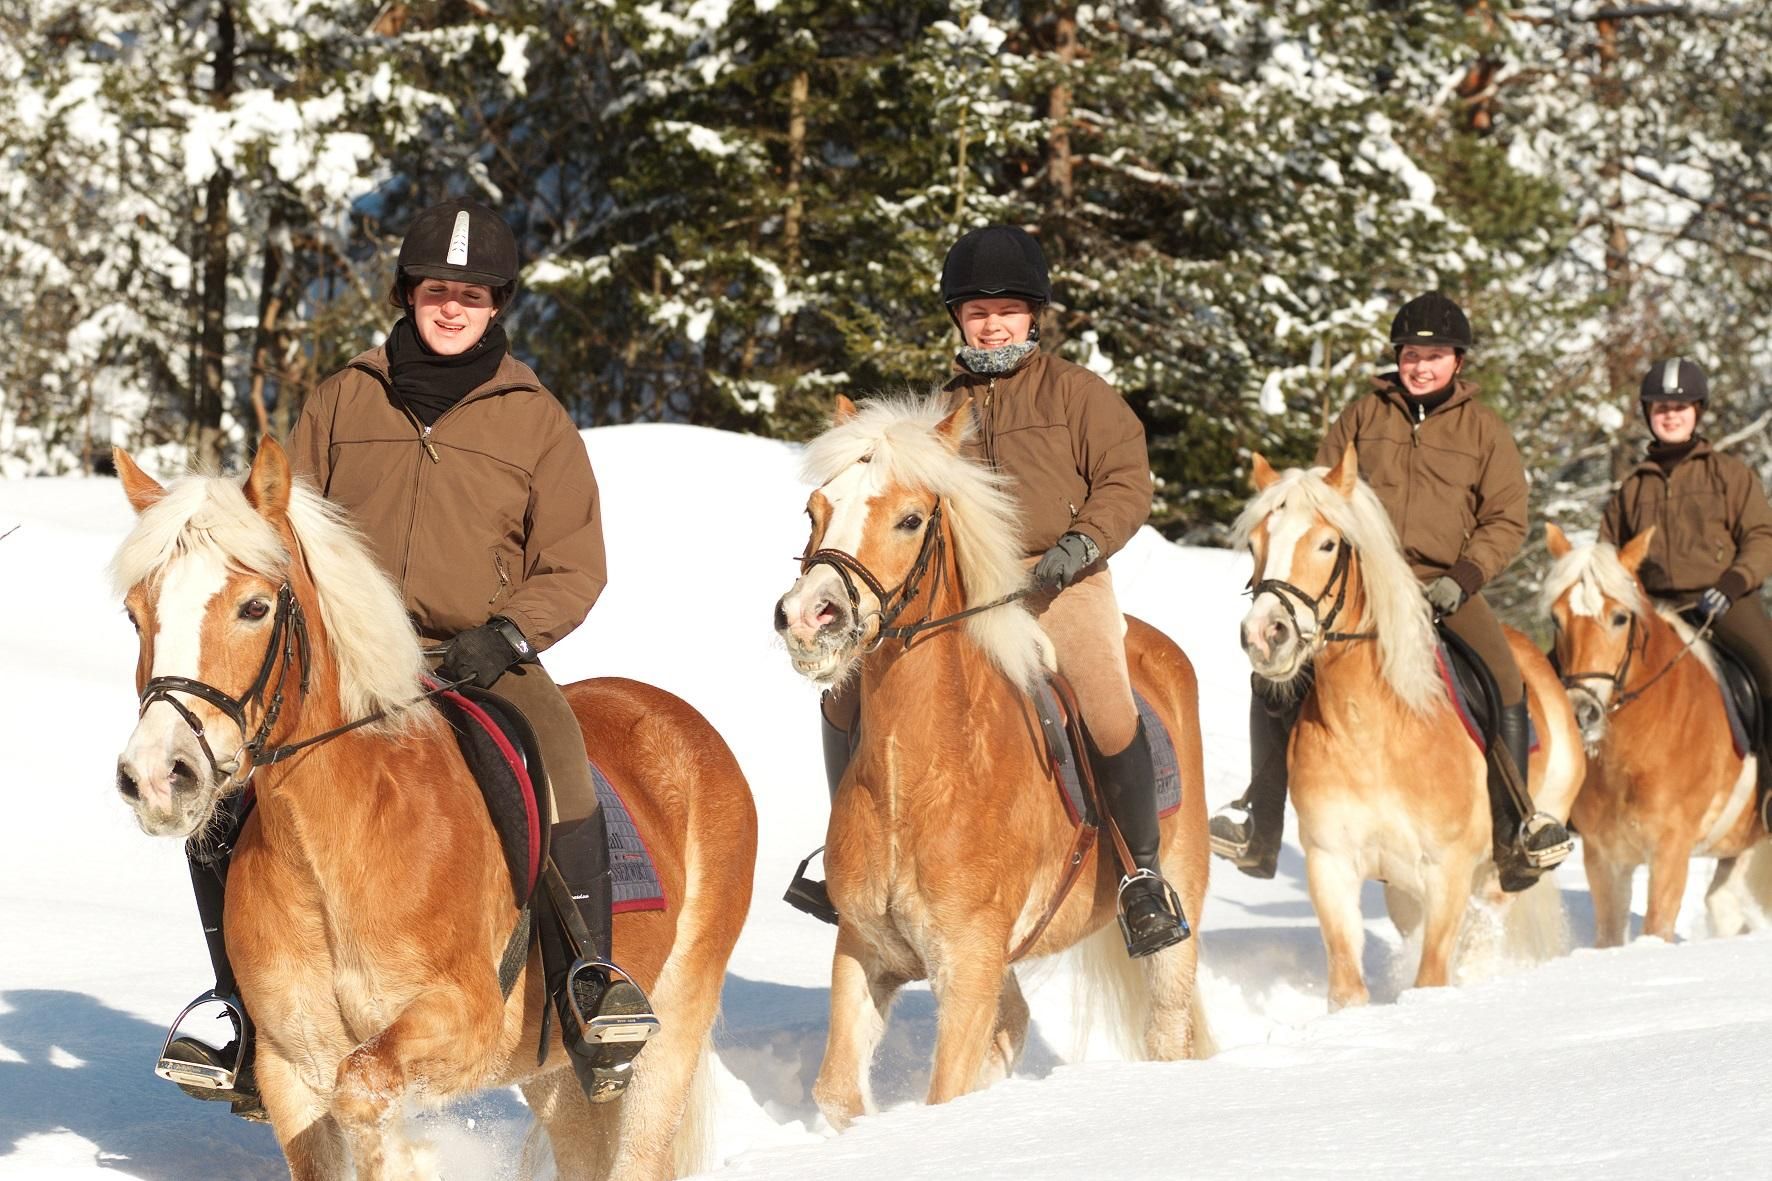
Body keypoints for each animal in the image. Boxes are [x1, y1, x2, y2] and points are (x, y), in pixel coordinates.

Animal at [108, 438, 756, 1181]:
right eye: (135, 613)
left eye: (253, 607)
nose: (158, 776)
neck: (341, 842)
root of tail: (684, 720)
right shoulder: (289, 1065)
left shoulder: (464, 1019)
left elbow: (363, 1086)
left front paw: (406, 1158)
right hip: (555, 1073)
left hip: (672, 1027)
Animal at [771, 394, 1210, 1130]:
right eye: (814, 510)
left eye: (910, 518)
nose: (809, 618)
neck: (923, 775)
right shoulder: (866, 949)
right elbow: (837, 1093)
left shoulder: (969, 964)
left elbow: (944, 1093)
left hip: (1178, 902)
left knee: (1168, 1027)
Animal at [1236, 446, 1582, 1009]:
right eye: (1254, 544)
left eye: (1327, 543)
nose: (1266, 636)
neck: (1373, 731)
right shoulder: (1332, 864)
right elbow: (1347, 985)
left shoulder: (1447, 871)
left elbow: (1433, 975)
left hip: (1504, 862)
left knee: (1486, 924)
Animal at [1542, 522, 1770, 943]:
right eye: (1556, 619)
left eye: (1620, 618)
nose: (1581, 713)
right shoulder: (1604, 856)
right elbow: (1609, 939)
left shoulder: (1670, 849)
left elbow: (1657, 926)